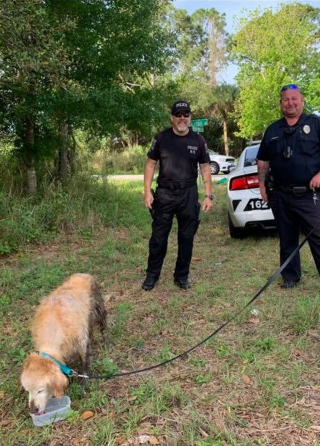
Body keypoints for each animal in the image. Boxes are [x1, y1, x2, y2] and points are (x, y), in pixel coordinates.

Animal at [21, 272, 111, 414]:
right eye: (27, 390)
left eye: (40, 390)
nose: (33, 410)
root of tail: (84, 274)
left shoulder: (82, 344)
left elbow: (85, 366)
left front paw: (84, 385)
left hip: (98, 309)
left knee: (104, 326)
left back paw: (107, 343)